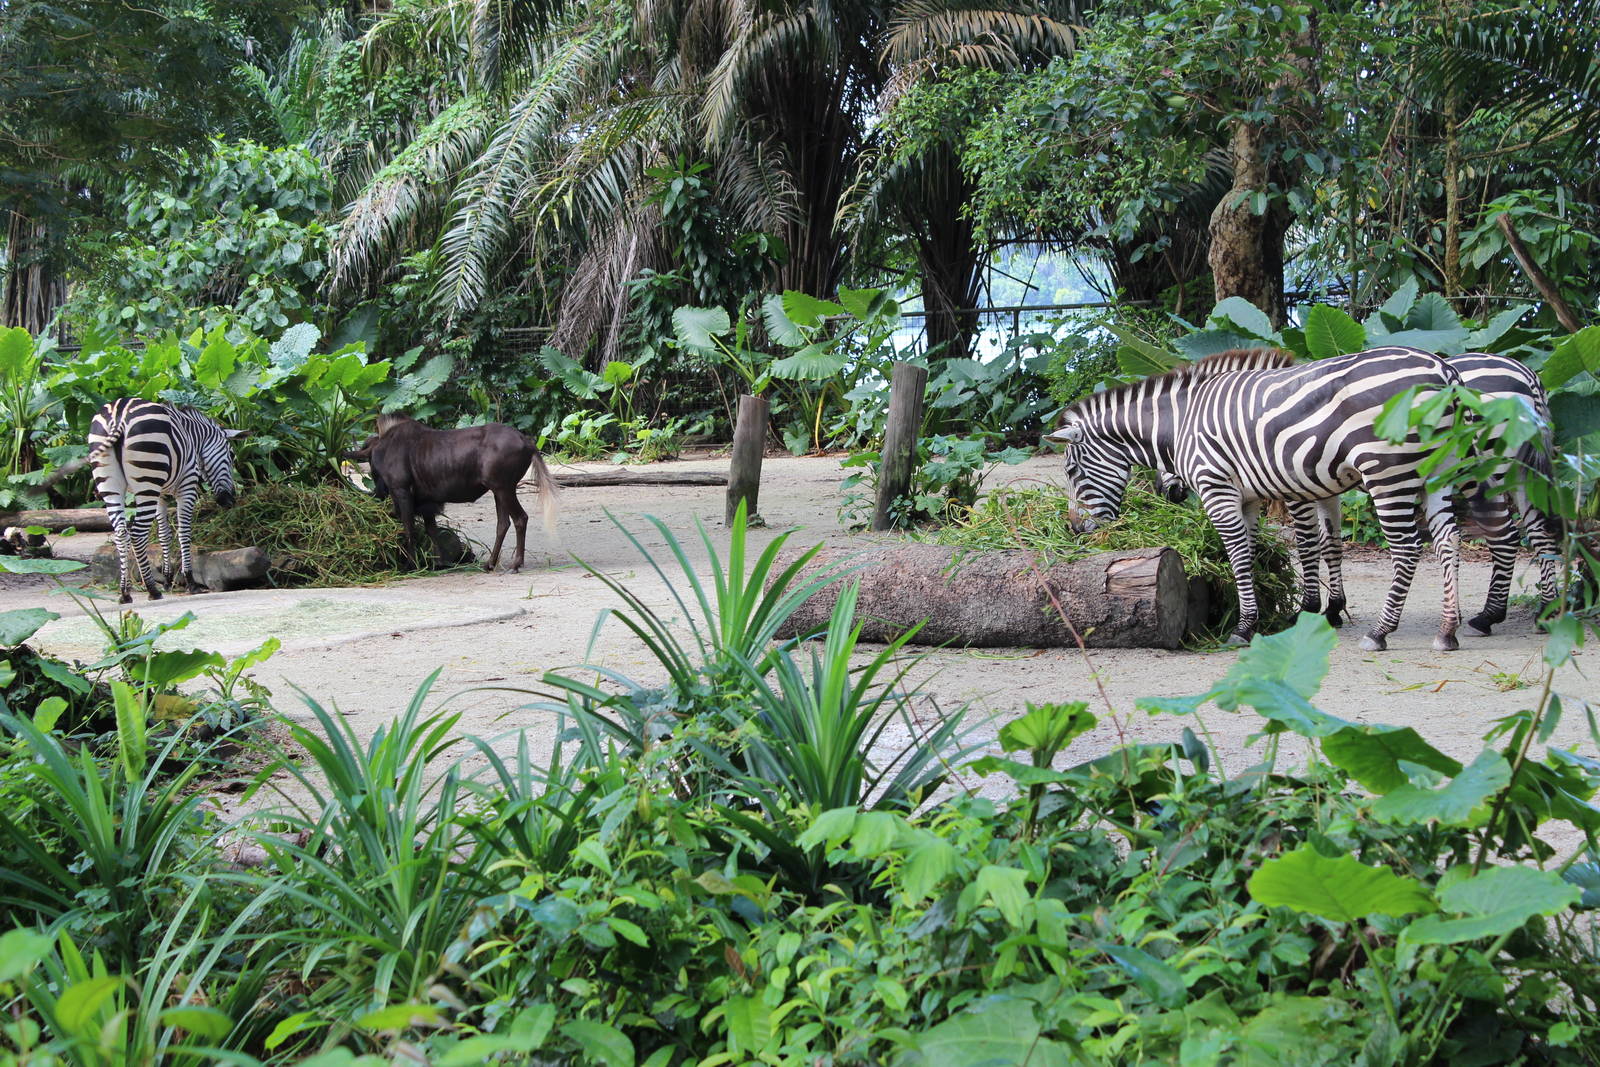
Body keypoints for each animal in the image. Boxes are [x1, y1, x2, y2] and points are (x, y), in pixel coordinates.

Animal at [88, 399, 245, 603]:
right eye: (232, 456)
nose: (229, 501)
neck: (192, 435)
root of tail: (118, 413)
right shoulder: (187, 486)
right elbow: (183, 532)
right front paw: (190, 581)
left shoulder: (160, 494)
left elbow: (164, 534)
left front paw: (168, 579)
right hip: (147, 480)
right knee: (137, 534)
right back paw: (152, 590)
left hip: (111, 485)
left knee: (121, 534)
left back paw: (125, 592)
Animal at [1047, 346, 1467, 651]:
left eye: (1071, 472)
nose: (1075, 531)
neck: (1179, 424)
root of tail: (1442, 369)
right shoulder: (1254, 495)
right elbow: (1258, 552)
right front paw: (1266, 615)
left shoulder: (1228, 488)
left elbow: (1253, 552)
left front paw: (1249, 626)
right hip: (1439, 471)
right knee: (1448, 540)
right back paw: (1447, 631)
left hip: (1386, 473)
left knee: (1407, 548)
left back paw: (1381, 632)